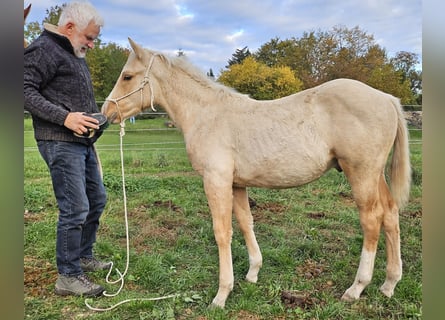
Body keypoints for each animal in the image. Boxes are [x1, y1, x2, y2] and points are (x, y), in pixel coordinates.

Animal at [100, 38, 410, 308]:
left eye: (127, 76)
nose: (106, 112)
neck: (207, 115)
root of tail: (387, 99)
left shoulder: (216, 180)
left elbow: (222, 232)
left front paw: (222, 294)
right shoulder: (237, 184)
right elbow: (245, 222)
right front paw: (252, 273)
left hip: (361, 174)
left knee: (372, 220)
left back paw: (357, 287)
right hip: (375, 175)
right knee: (391, 214)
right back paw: (389, 284)